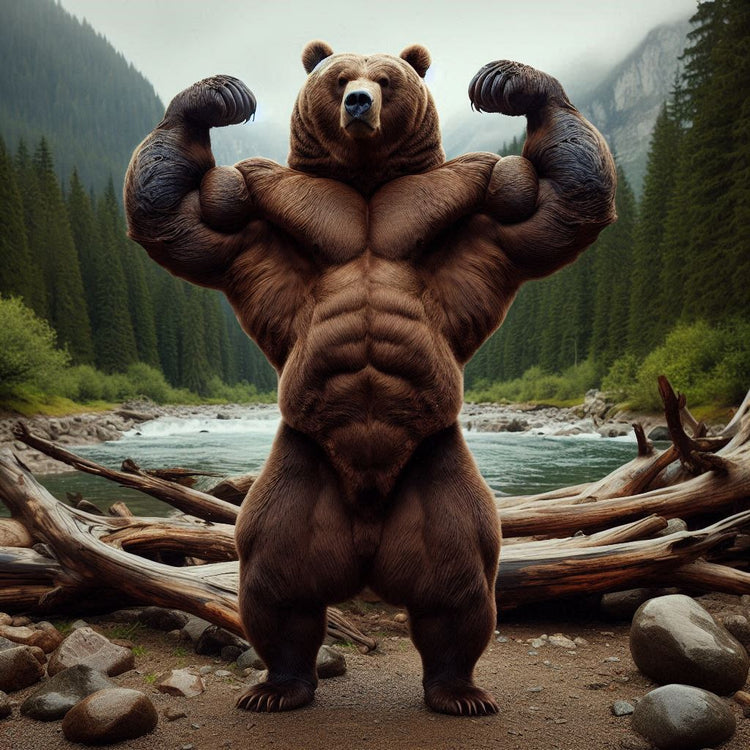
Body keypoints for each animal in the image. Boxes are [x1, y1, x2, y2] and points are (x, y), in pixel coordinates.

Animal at [124, 41, 616, 716]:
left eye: (385, 78)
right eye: (339, 78)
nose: (360, 102)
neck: (364, 183)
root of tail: (365, 528)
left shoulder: (492, 203)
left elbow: (562, 203)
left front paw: (506, 83)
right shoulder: (245, 213)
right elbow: (176, 214)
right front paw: (220, 95)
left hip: (435, 471)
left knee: (458, 581)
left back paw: (457, 689)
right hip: (301, 472)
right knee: (276, 576)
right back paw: (279, 684)